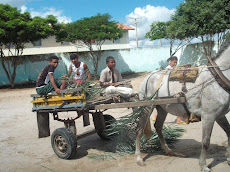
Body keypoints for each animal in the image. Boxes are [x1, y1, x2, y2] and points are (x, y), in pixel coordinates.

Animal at [136, 42, 229, 172]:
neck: (216, 78)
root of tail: (147, 77)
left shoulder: (219, 115)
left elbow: (228, 133)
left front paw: (229, 158)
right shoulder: (209, 116)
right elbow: (205, 141)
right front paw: (203, 165)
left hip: (162, 108)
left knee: (158, 126)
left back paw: (168, 150)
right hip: (147, 107)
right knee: (139, 128)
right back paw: (139, 158)